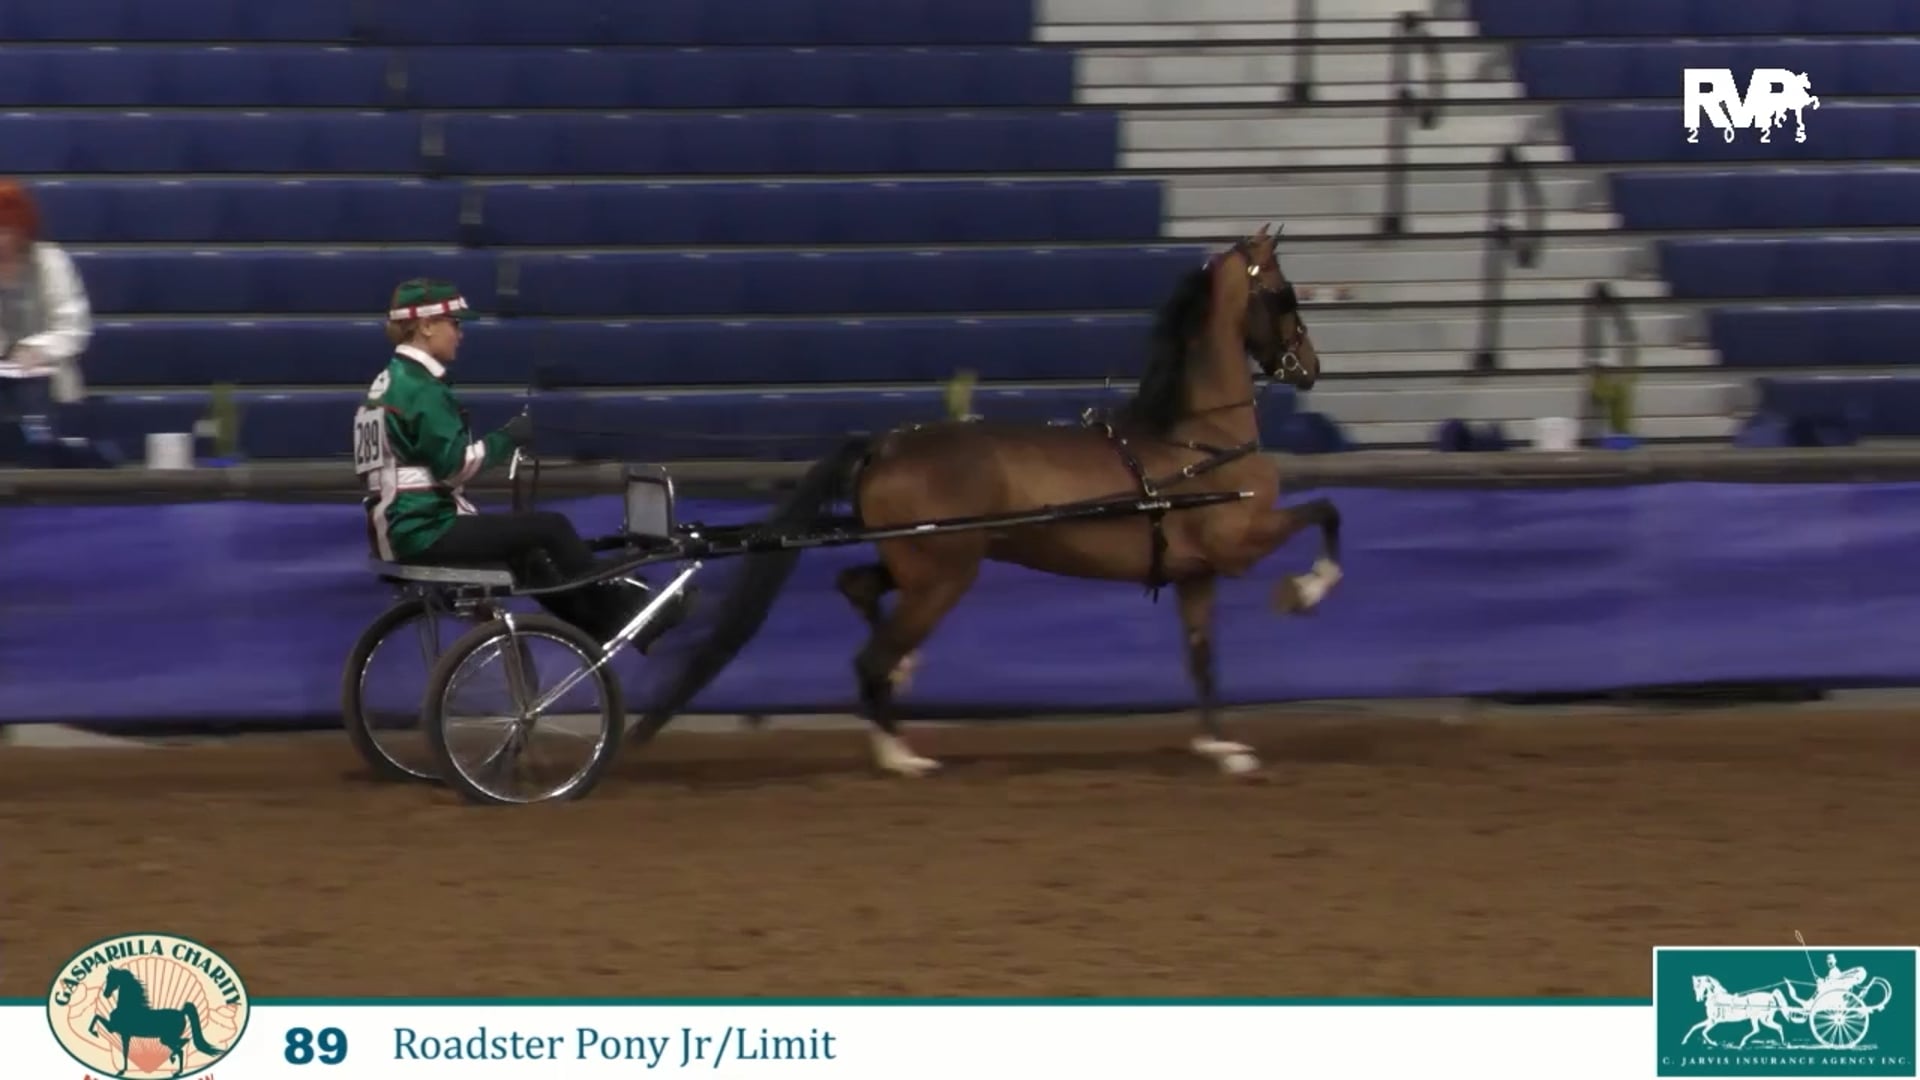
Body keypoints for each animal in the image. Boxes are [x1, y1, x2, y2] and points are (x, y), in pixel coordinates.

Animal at [88, 965, 226, 1077]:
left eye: (113, 978)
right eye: (108, 978)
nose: (106, 994)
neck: (129, 1007)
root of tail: (182, 1012)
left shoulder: (120, 1032)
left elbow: (124, 1051)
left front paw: (121, 1071)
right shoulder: (117, 1031)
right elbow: (97, 1017)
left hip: (167, 1038)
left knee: (181, 1048)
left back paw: (177, 1069)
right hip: (167, 1039)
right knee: (184, 1042)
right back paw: (174, 1061)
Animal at [784, 224, 1342, 777]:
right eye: (1283, 293)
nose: (1311, 367)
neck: (1195, 442)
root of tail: (885, 445)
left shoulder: (1196, 573)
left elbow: (1202, 658)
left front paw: (1219, 747)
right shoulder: (1238, 544)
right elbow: (1325, 511)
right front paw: (1304, 590)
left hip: (918, 565)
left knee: (858, 588)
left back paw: (901, 688)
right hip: (941, 577)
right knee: (871, 655)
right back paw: (900, 752)